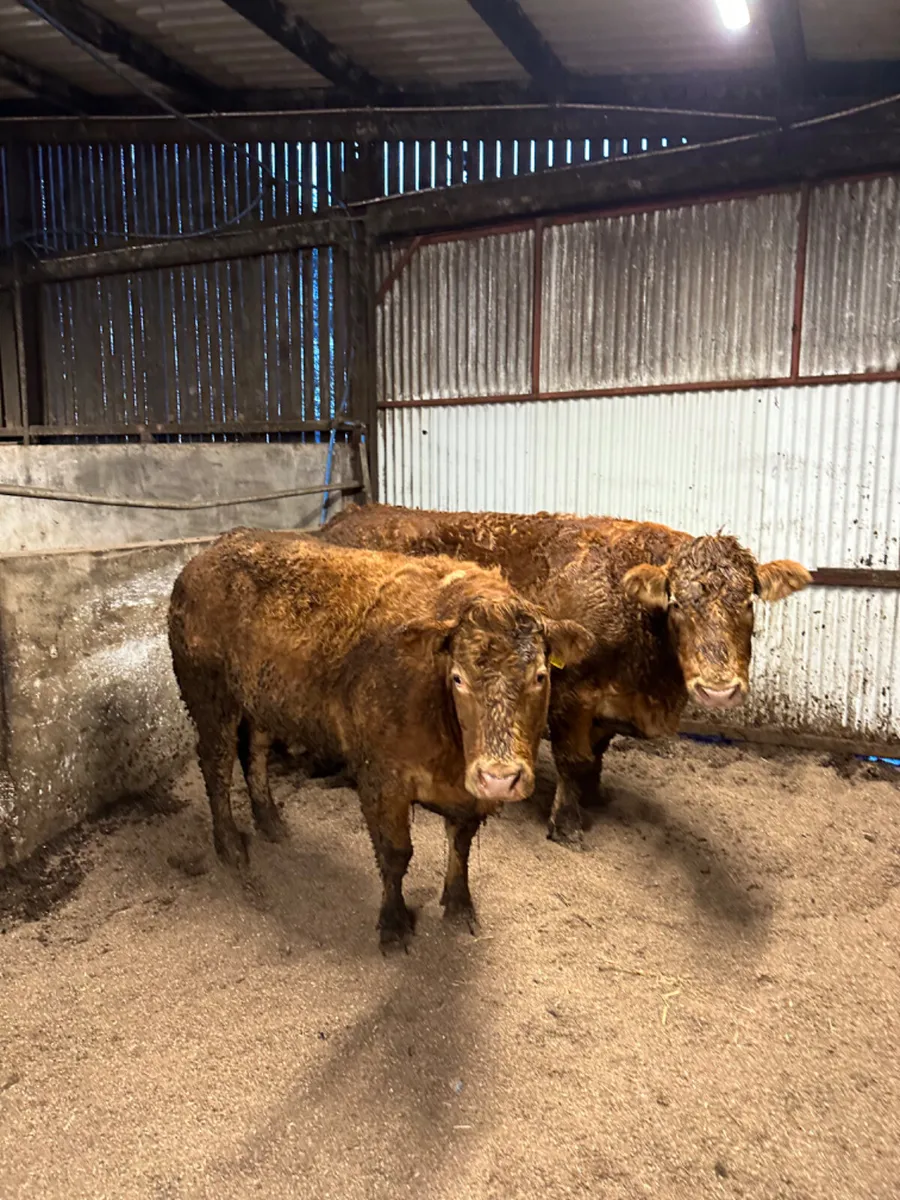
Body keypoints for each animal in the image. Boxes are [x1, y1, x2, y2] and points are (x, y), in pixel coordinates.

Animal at [168, 529, 590, 948]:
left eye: (540, 675)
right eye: (458, 678)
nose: (500, 778)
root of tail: (209, 553)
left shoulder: (468, 796)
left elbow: (461, 847)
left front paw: (459, 907)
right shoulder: (381, 779)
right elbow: (395, 853)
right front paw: (394, 924)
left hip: (261, 701)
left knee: (254, 754)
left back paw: (271, 822)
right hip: (210, 697)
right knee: (217, 765)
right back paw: (230, 845)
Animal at [318, 505, 812, 848]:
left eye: (747, 601)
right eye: (676, 603)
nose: (719, 690)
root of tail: (346, 517)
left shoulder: (608, 705)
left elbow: (595, 757)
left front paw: (594, 798)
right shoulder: (572, 696)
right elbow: (574, 760)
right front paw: (567, 822)